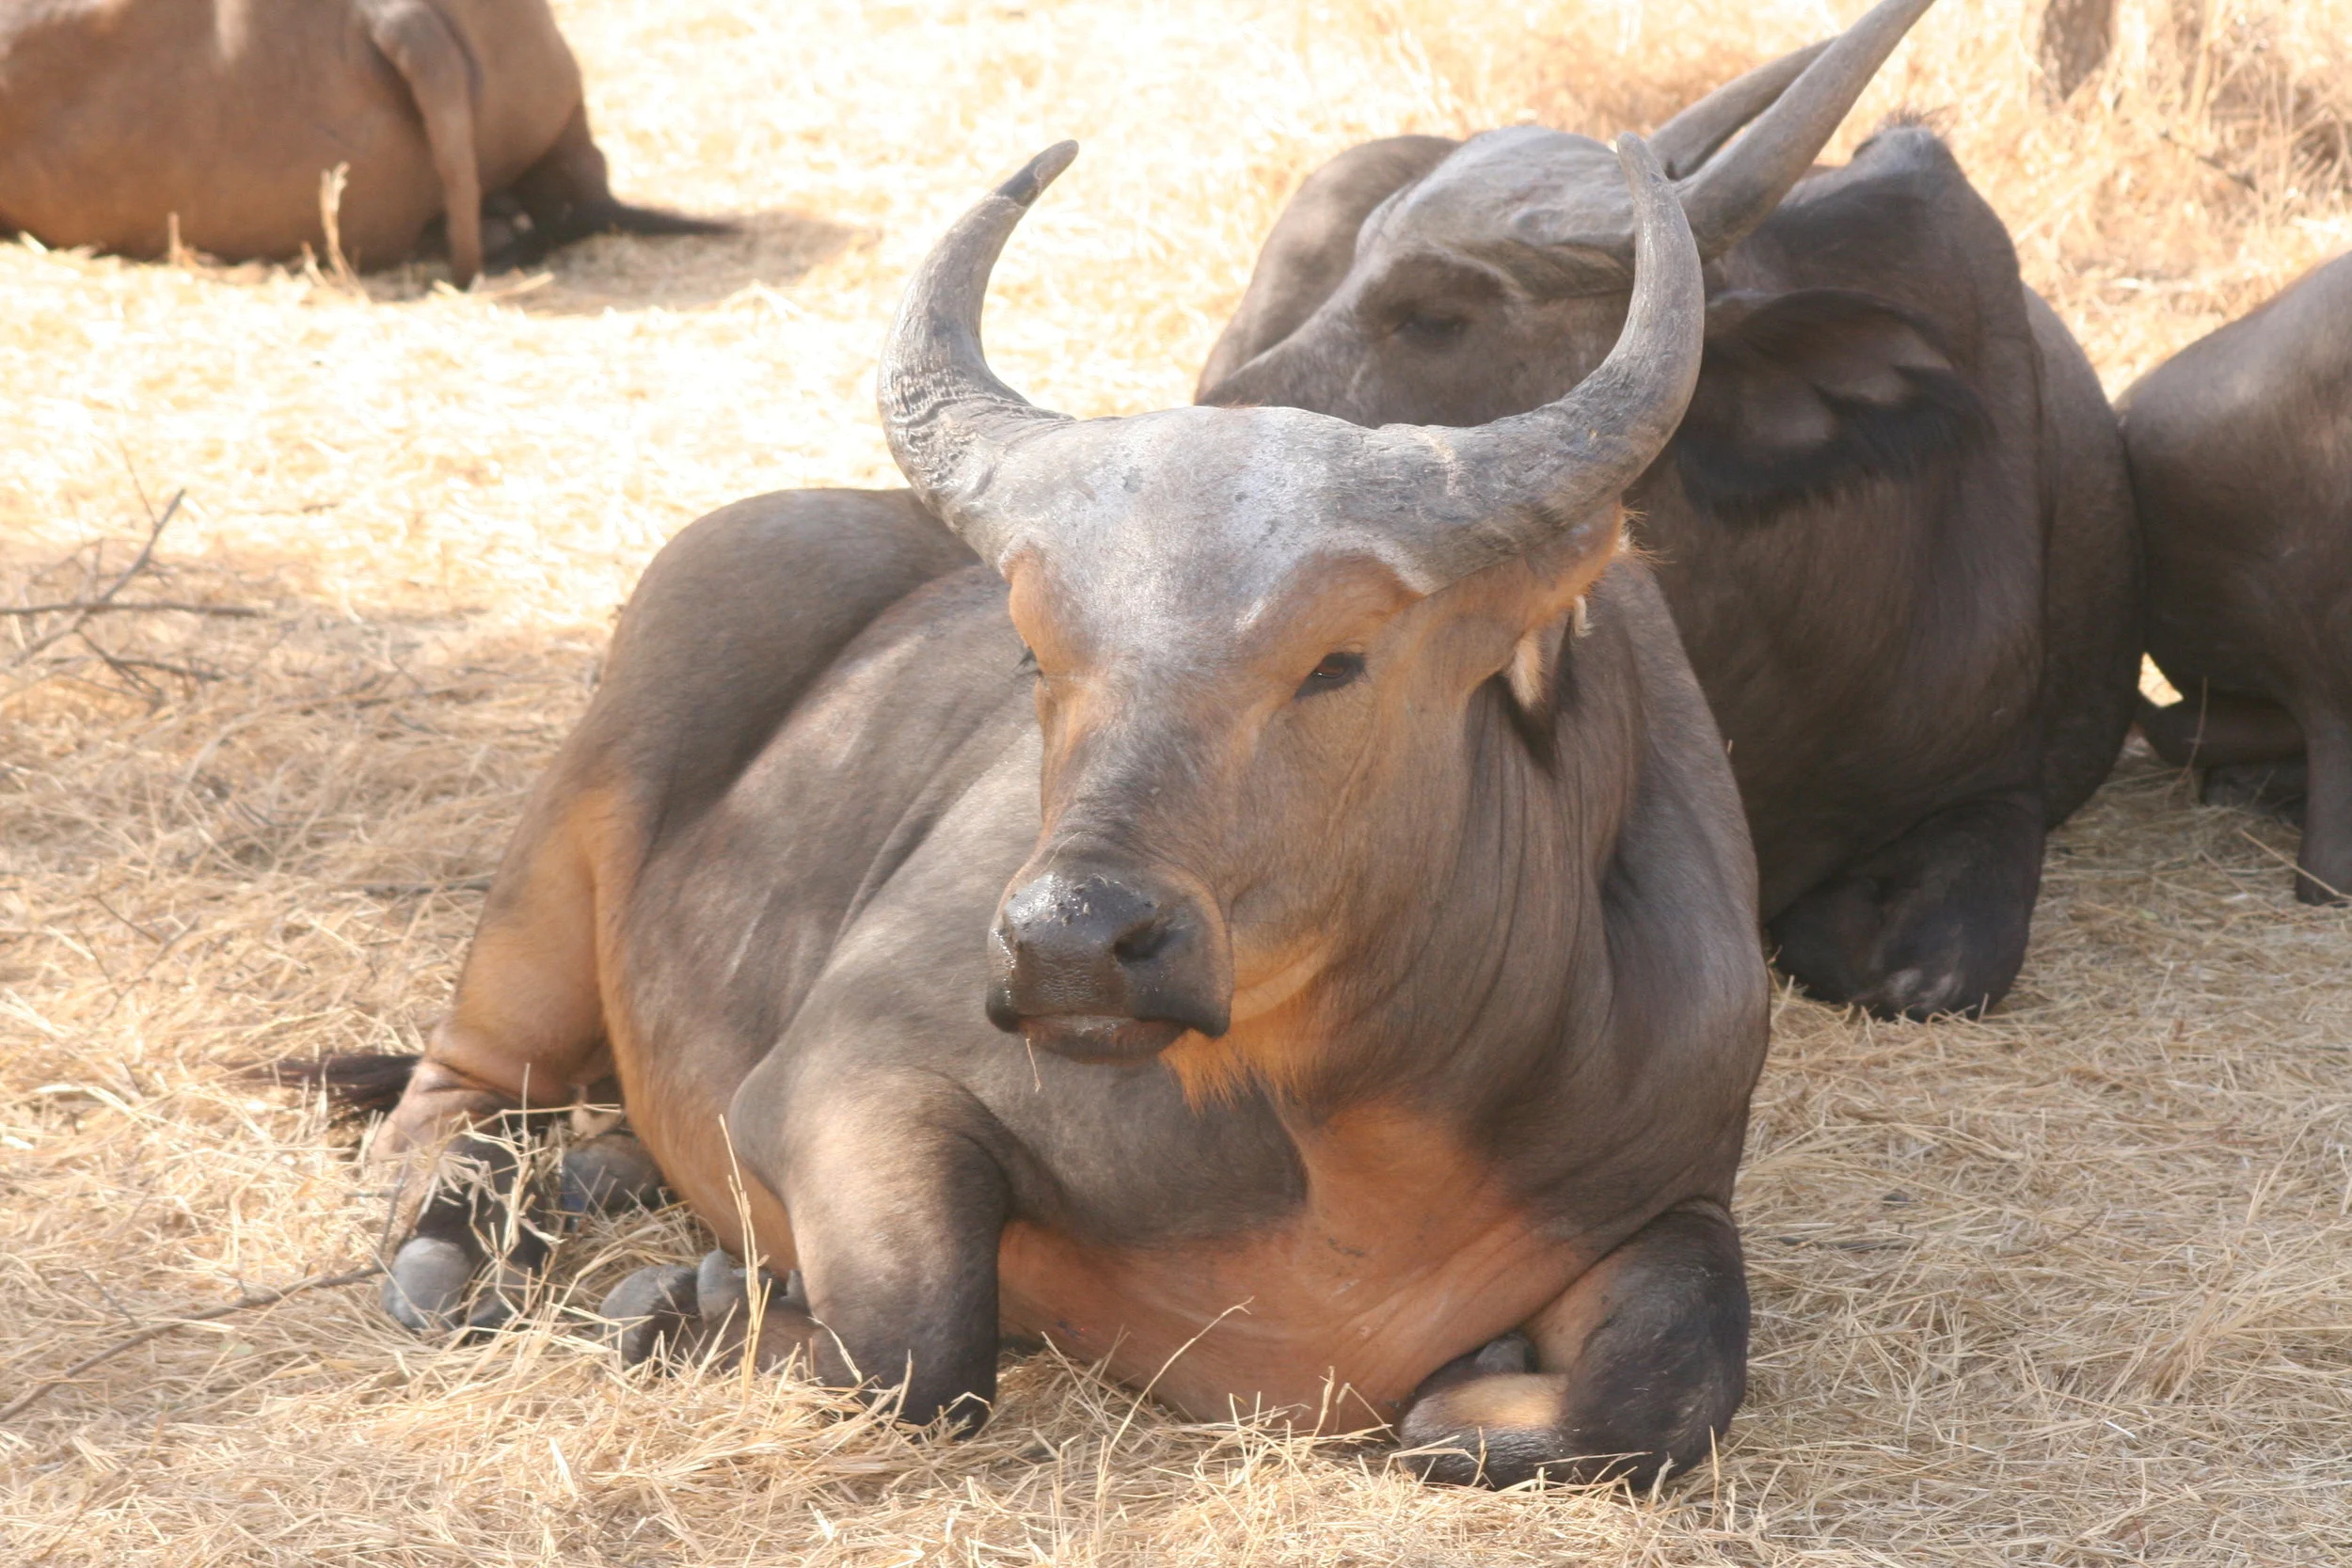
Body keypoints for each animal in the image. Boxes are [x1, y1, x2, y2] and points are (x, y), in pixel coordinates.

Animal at [333, 139, 1774, 1489]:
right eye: (1034, 645)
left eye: (1338, 657)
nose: (1073, 942)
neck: (1345, 1135)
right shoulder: (839, 1074)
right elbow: (920, 1342)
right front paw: (684, 1300)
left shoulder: (1671, 1191)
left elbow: (1665, 1380)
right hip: (564, 841)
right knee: (458, 1090)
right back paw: (456, 1235)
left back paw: (598, 1172)